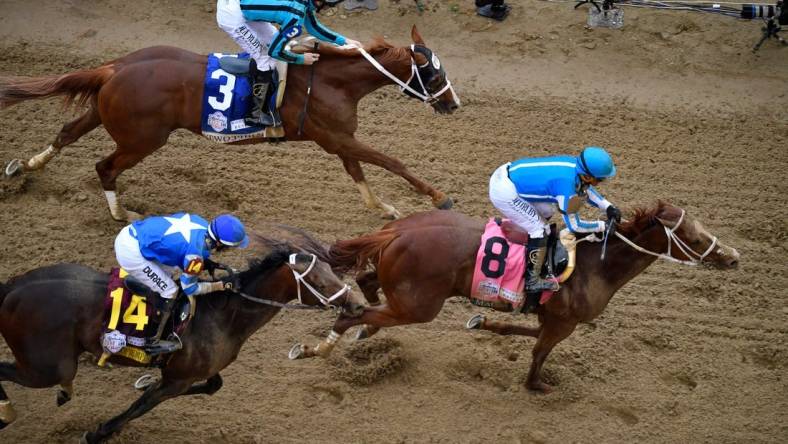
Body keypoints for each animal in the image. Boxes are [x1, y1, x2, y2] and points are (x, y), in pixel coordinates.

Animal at [0, 25, 458, 220]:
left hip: (106, 114)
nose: (454, 104)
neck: (331, 79)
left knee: (66, 134)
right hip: (142, 139)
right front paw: (439, 197)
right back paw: (121, 215)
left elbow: (359, 173)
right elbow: (391, 162)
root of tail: (114, 67)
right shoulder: (336, 136)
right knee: (104, 166)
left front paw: (385, 208)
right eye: (434, 75)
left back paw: (24, 167)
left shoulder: (338, 139)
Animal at [0, 234, 364, 442]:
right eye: (320, 281)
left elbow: (212, 385)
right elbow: (140, 407)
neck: (224, 315)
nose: (359, 304)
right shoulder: (177, 379)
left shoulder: (194, 372)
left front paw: (143, 383)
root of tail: (13, 288)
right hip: (47, 366)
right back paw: (9, 413)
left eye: (334, 272)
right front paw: (97, 433)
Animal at [290, 203, 740, 394]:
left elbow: (520, 331)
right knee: (356, 312)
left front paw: (483, 321)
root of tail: (397, 230)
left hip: (402, 290)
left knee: (367, 283)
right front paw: (535, 386)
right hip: (419, 306)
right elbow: (540, 352)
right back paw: (318, 347)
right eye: (694, 238)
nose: (733, 257)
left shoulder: (549, 316)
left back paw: (364, 330)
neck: (596, 264)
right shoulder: (564, 322)